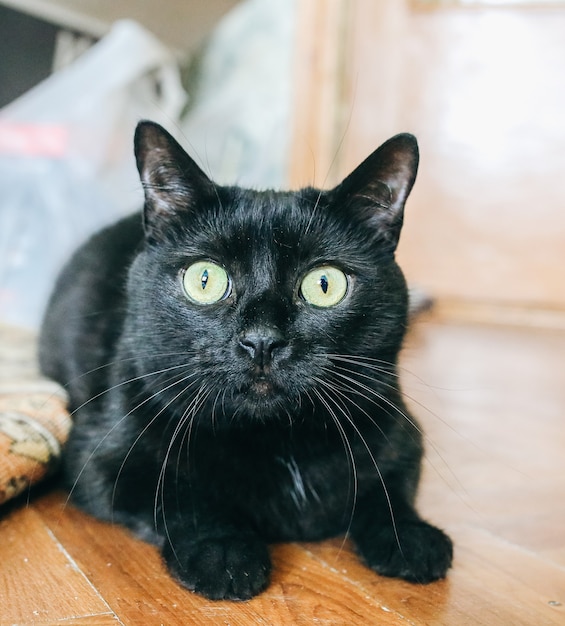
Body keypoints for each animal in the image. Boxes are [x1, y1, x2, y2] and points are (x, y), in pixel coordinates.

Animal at [39, 119, 452, 596]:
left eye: (324, 284)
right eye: (205, 279)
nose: (262, 340)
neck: (278, 440)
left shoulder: (403, 436)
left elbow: (388, 491)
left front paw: (412, 537)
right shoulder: (103, 460)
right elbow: (180, 496)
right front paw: (223, 553)